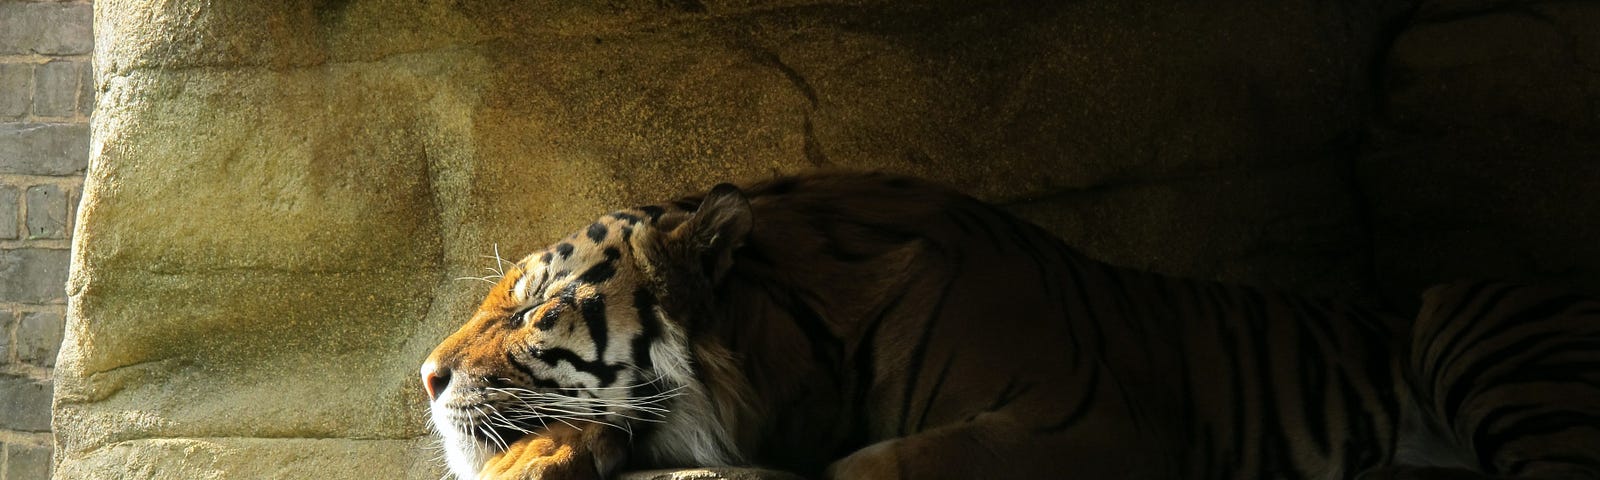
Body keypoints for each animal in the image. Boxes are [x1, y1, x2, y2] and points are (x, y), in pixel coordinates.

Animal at [416, 170, 1600, 476]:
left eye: (534, 305)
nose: (423, 377)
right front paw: (535, 459)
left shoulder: (1089, 423)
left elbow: (877, 466)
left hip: (1477, 334)